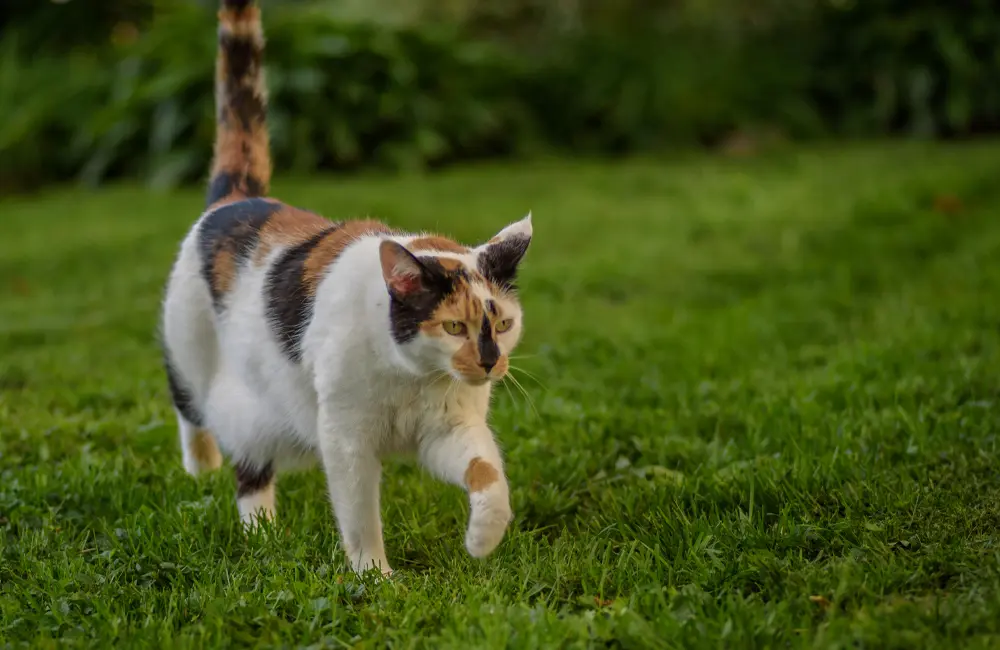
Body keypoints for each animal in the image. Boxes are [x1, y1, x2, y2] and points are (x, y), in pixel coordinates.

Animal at [160, 1, 532, 576]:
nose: (492, 363)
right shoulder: (345, 437)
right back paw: (207, 474)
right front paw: (375, 578)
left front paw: (482, 540)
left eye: (505, 323)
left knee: (252, 469)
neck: (413, 377)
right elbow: (359, 514)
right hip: (197, 360)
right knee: (200, 419)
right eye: (454, 326)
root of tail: (236, 199)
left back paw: (263, 535)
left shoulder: (448, 430)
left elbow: (487, 473)